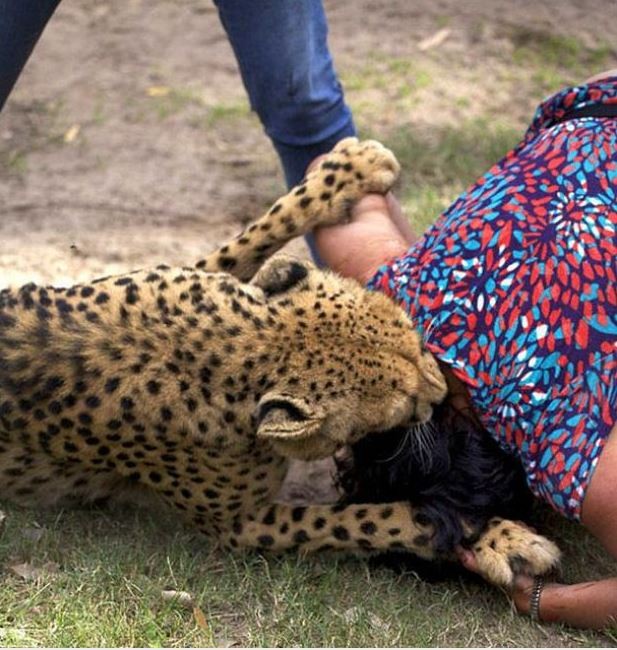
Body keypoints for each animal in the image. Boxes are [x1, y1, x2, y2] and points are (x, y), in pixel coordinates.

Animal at [0, 138, 560, 588]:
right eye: (402, 402)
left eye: (414, 337)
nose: (443, 392)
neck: (239, 345)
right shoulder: (239, 526)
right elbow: (369, 518)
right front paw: (489, 534)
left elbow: (249, 237)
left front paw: (347, 171)